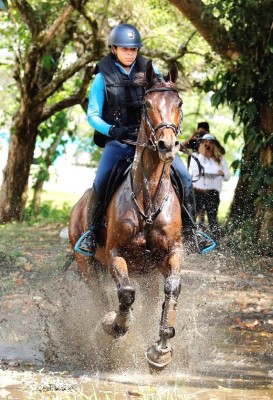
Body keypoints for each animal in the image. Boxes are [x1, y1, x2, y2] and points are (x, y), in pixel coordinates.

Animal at [68, 60, 183, 368]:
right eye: (147, 104)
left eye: (179, 103)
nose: (167, 146)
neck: (149, 195)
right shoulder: (114, 254)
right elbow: (126, 293)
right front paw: (116, 326)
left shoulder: (172, 252)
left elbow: (172, 288)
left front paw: (161, 349)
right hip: (87, 266)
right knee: (101, 296)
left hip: (148, 272)